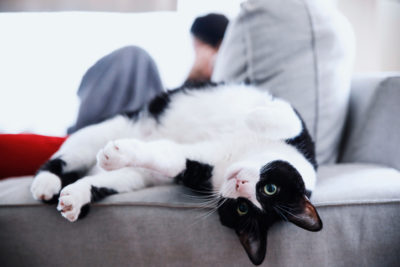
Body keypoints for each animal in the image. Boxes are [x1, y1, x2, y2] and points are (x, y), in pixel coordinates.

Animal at [30, 84, 322, 266]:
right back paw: (46, 182)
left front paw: (120, 154)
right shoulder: (299, 132)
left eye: (243, 207)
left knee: (101, 180)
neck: (236, 154)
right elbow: (281, 117)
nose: (240, 184)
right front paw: (252, 115)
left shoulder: (195, 169)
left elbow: (168, 160)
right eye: (270, 188)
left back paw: (74, 197)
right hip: (107, 128)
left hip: (132, 177)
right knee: (65, 155)